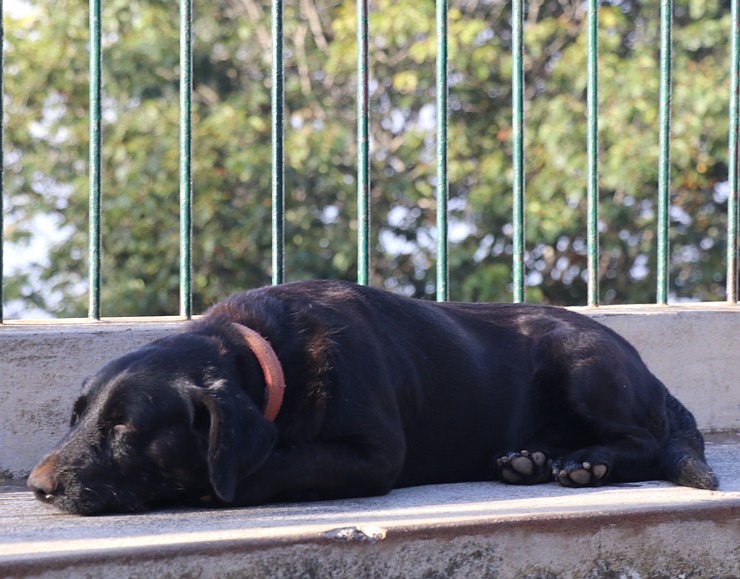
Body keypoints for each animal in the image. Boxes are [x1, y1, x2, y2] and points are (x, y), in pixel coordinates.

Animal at [27, 280, 716, 516]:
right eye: (77, 416)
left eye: (126, 428)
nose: (37, 488)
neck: (272, 356)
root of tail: (652, 374)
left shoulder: (373, 455)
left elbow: (279, 463)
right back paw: (529, 460)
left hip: (578, 359)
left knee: (644, 440)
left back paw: (586, 463)